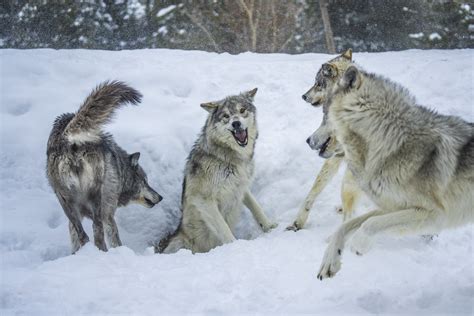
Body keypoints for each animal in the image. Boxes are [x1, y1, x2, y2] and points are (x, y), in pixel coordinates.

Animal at [46, 80, 163, 253]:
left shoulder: (75, 218)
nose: (160, 197)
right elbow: (114, 239)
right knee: (97, 232)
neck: (119, 167)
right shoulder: (108, 214)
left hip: (66, 203)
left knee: (84, 236)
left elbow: (75, 239)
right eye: (145, 181)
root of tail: (68, 140)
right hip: (96, 202)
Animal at [158, 87, 278, 253]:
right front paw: (235, 246)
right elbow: (223, 228)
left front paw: (270, 227)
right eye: (226, 116)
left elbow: (256, 207)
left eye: (242, 110)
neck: (228, 158)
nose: (236, 123)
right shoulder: (203, 199)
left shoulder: (241, 186)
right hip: (179, 243)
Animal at [316, 64, 472, 278]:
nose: (308, 140)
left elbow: (369, 224)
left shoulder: (436, 215)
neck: (391, 143)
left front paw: (359, 244)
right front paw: (330, 259)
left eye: (324, 116)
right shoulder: (392, 207)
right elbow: (346, 226)